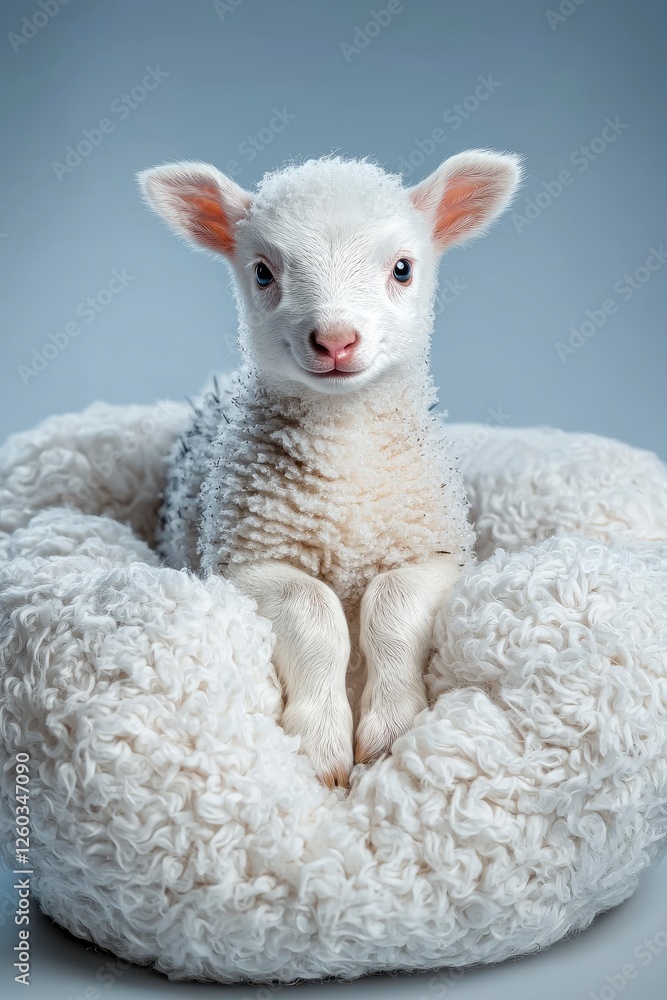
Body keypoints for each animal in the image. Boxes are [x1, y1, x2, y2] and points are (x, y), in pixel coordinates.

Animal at [138, 150, 522, 788]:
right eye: (263, 273)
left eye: (402, 268)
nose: (336, 340)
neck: (346, 464)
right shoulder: (248, 560)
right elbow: (313, 613)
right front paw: (321, 750)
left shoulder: (433, 552)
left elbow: (393, 605)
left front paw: (390, 733)